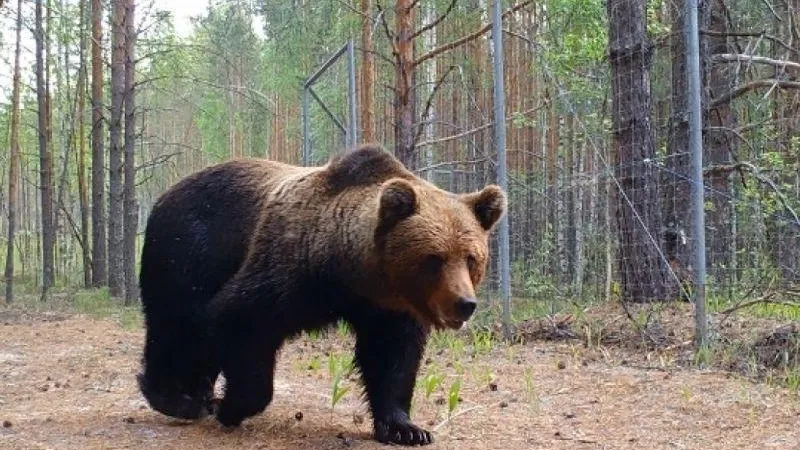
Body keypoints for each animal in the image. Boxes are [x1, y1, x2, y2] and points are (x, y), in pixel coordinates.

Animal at [136, 144, 507, 446]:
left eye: (471, 258)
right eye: (434, 258)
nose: (464, 304)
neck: (347, 271)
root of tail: (165, 195)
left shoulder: (386, 309)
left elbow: (392, 359)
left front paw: (407, 428)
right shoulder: (288, 270)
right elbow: (239, 317)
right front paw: (230, 406)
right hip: (187, 252)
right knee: (175, 324)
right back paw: (175, 397)